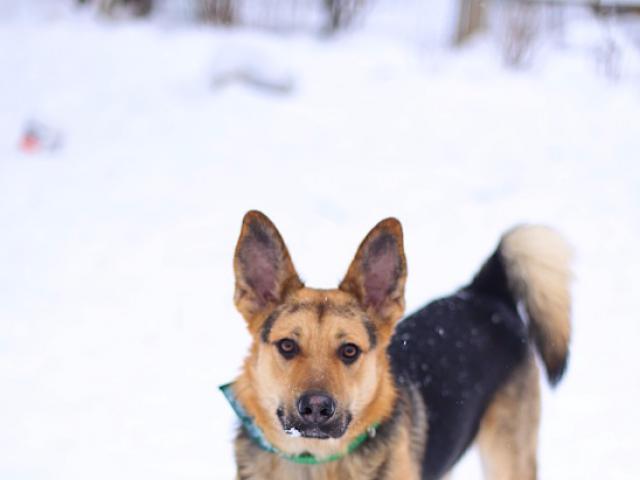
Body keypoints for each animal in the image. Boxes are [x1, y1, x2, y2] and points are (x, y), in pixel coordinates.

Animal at [222, 211, 572, 480]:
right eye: (287, 346)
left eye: (349, 351)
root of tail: (482, 292)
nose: (317, 408)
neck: (313, 459)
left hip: (507, 453)